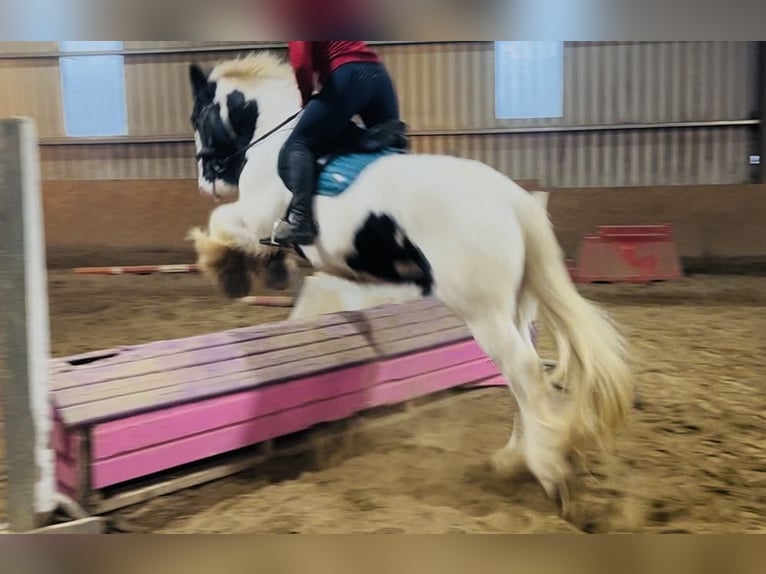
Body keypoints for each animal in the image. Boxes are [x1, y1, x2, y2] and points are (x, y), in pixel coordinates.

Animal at [186, 51, 634, 515]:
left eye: (197, 117)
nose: (208, 181)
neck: (271, 137)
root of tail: (513, 198)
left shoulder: (258, 216)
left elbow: (221, 222)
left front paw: (227, 269)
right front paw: (264, 267)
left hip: (482, 311)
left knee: (523, 370)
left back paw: (548, 470)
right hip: (513, 307)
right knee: (522, 379)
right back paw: (515, 458)